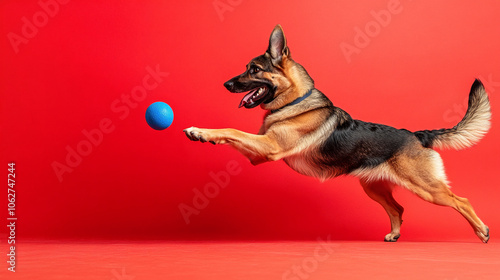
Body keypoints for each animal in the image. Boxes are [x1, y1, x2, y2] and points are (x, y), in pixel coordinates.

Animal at [185, 24, 492, 243]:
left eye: (254, 70)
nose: (226, 84)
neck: (294, 103)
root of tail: (416, 134)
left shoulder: (269, 146)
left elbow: (231, 129)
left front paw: (199, 131)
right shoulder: (259, 152)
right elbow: (232, 134)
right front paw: (205, 135)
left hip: (427, 189)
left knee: (461, 201)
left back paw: (482, 232)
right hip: (374, 189)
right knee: (398, 209)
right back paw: (394, 234)